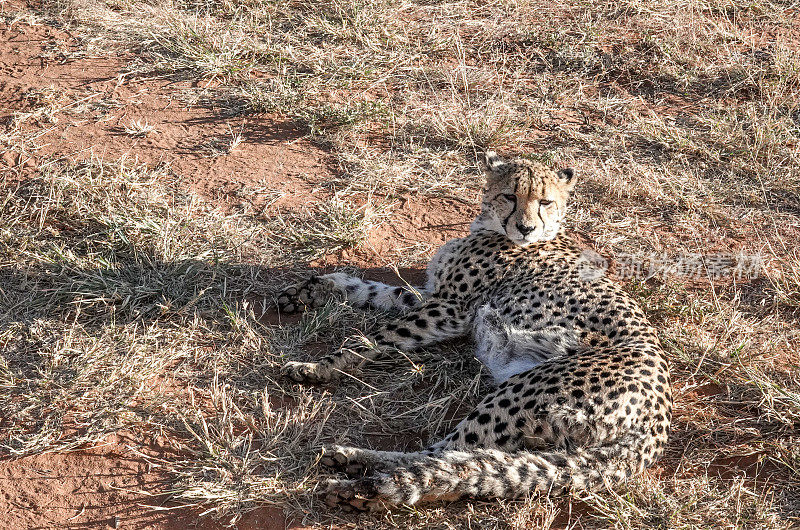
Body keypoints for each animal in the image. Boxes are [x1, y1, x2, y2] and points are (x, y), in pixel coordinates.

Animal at [278, 151, 672, 510]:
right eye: (510, 195)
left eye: (545, 202)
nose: (526, 228)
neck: (492, 228)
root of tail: (659, 418)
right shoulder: (435, 296)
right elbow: (367, 289)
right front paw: (307, 292)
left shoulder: (451, 309)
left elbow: (374, 338)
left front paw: (318, 366)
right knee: (460, 459)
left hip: (524, 393)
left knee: (445, 455)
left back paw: (357, 474)